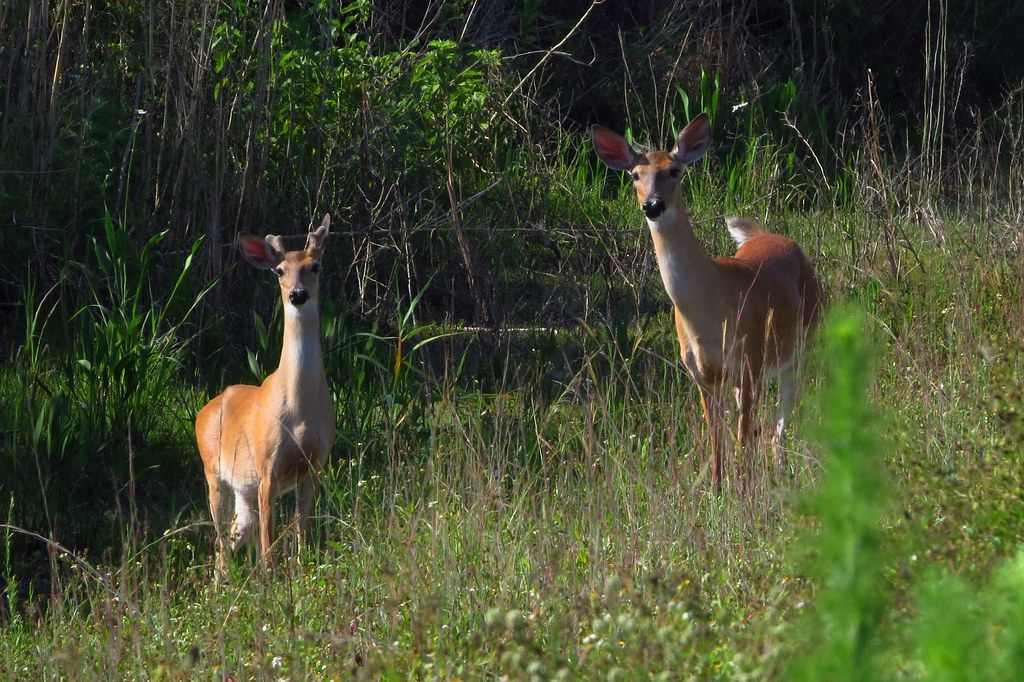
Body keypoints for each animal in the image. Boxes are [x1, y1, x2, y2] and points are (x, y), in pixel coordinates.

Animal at [196, 215, 334, 573]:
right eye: (280, 270)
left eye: (316, 266)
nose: (298, 294)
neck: (300, 409)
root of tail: (204, 411)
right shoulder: (267, 463)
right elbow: (268, 542)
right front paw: (270, 577)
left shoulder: (313, 465)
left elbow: (302, 532)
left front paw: (302, 572)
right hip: (213, 472)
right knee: (221, 540)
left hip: (244, 489)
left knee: (235, 534)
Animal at [592, 114, 823, 490]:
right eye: (634, 174)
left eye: (674, 170)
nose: (652, 205)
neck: (709, 309)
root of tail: (769, 235)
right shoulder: (701, 375)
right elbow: (717, 440)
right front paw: (717, 489)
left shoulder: (751, 361)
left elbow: (742, 439)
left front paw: (744, 490)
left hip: (804, 343)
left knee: (782, 420)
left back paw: (780, 468)